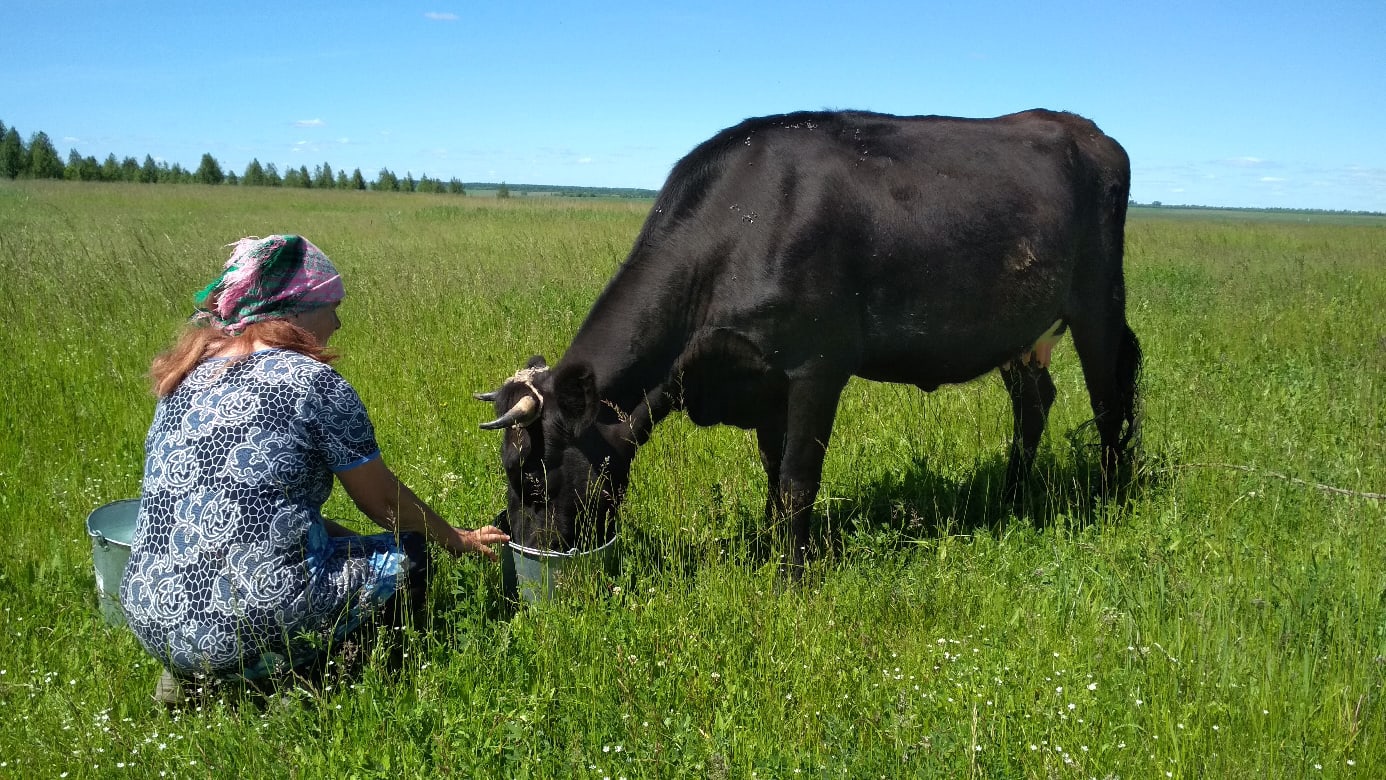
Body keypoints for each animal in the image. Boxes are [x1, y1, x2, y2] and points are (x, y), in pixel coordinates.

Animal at [482, 108, 1142, 562]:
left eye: (533, 476)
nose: (530, 552)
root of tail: (1088, 131)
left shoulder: (817, 368)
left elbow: (799, 478)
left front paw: (792, 575)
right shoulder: (762, 375)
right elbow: (773, 472)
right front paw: (768, 547)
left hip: (1098, 303)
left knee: (1110, 398)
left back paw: (1113, 500)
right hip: (1021, 331)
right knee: (1035, 402)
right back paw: (1010, 497)